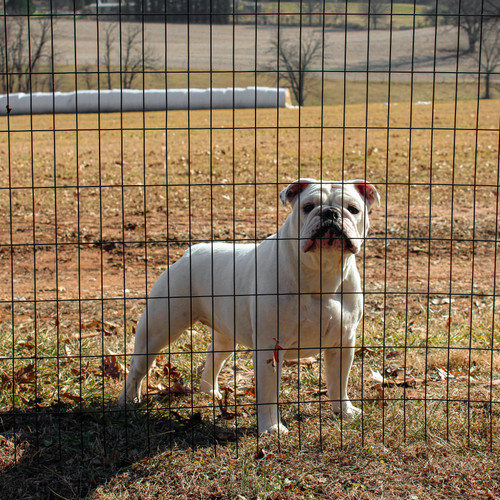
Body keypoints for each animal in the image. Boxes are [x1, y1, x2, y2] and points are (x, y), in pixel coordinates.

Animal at [120, 179, 378, 434]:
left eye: (353, 209)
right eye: (308, 207)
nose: (331, 213)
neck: (323, 268)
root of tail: (189, 253)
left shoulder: (342, 343)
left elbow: (338, 382)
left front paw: (344, 411)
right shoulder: (270, 347)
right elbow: (268, 393)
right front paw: (272, 428)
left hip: (225, 333)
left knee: (214, 355)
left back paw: (209, 391)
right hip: (157, 329)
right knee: (137, 367)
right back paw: (128, 401)